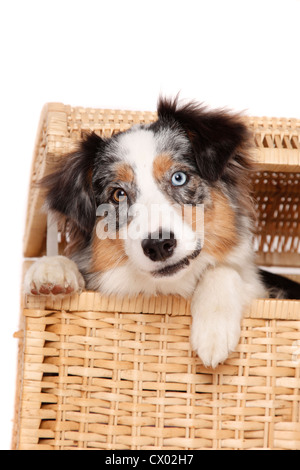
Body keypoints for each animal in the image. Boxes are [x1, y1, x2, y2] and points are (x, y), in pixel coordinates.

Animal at [24, 95, 300, 368]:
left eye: (179, 178)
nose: (158, 245)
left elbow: (223, 270)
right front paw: (53, 268)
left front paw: (213, 331)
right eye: (118, 194)